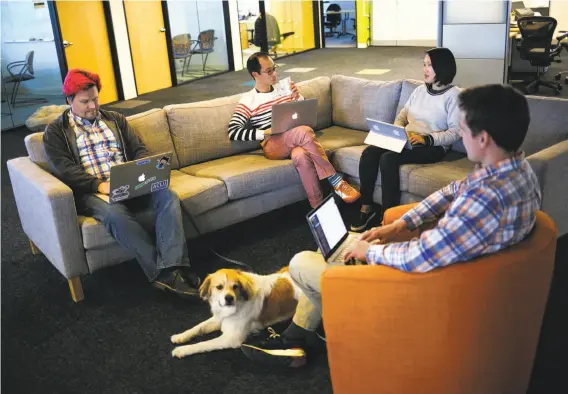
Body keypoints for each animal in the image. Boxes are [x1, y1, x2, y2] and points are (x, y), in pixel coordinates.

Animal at [170, 268, 300, 358]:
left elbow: (203, 344)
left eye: (235, 286)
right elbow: (198, 327)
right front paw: (180, 336)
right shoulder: (219, 319)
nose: (229, 298)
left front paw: (182, 350)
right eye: (219, 287)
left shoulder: (231, 338)